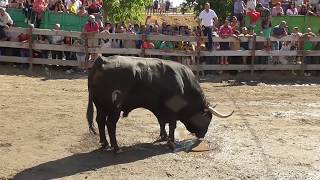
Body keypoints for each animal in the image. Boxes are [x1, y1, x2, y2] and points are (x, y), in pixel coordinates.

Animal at [87, 55, 232, 153]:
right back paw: (116, 147)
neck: (183, 83)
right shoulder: (173, 109)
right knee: (110, 124)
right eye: (207, 118)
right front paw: (171, 142)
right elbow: (172, 125)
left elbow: (162, 122)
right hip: (114, 108)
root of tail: (102, 60)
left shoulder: (160, 108)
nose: (202, 135)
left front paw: (164, 136)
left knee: (100, 121)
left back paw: (104, 143)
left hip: (100, 106)